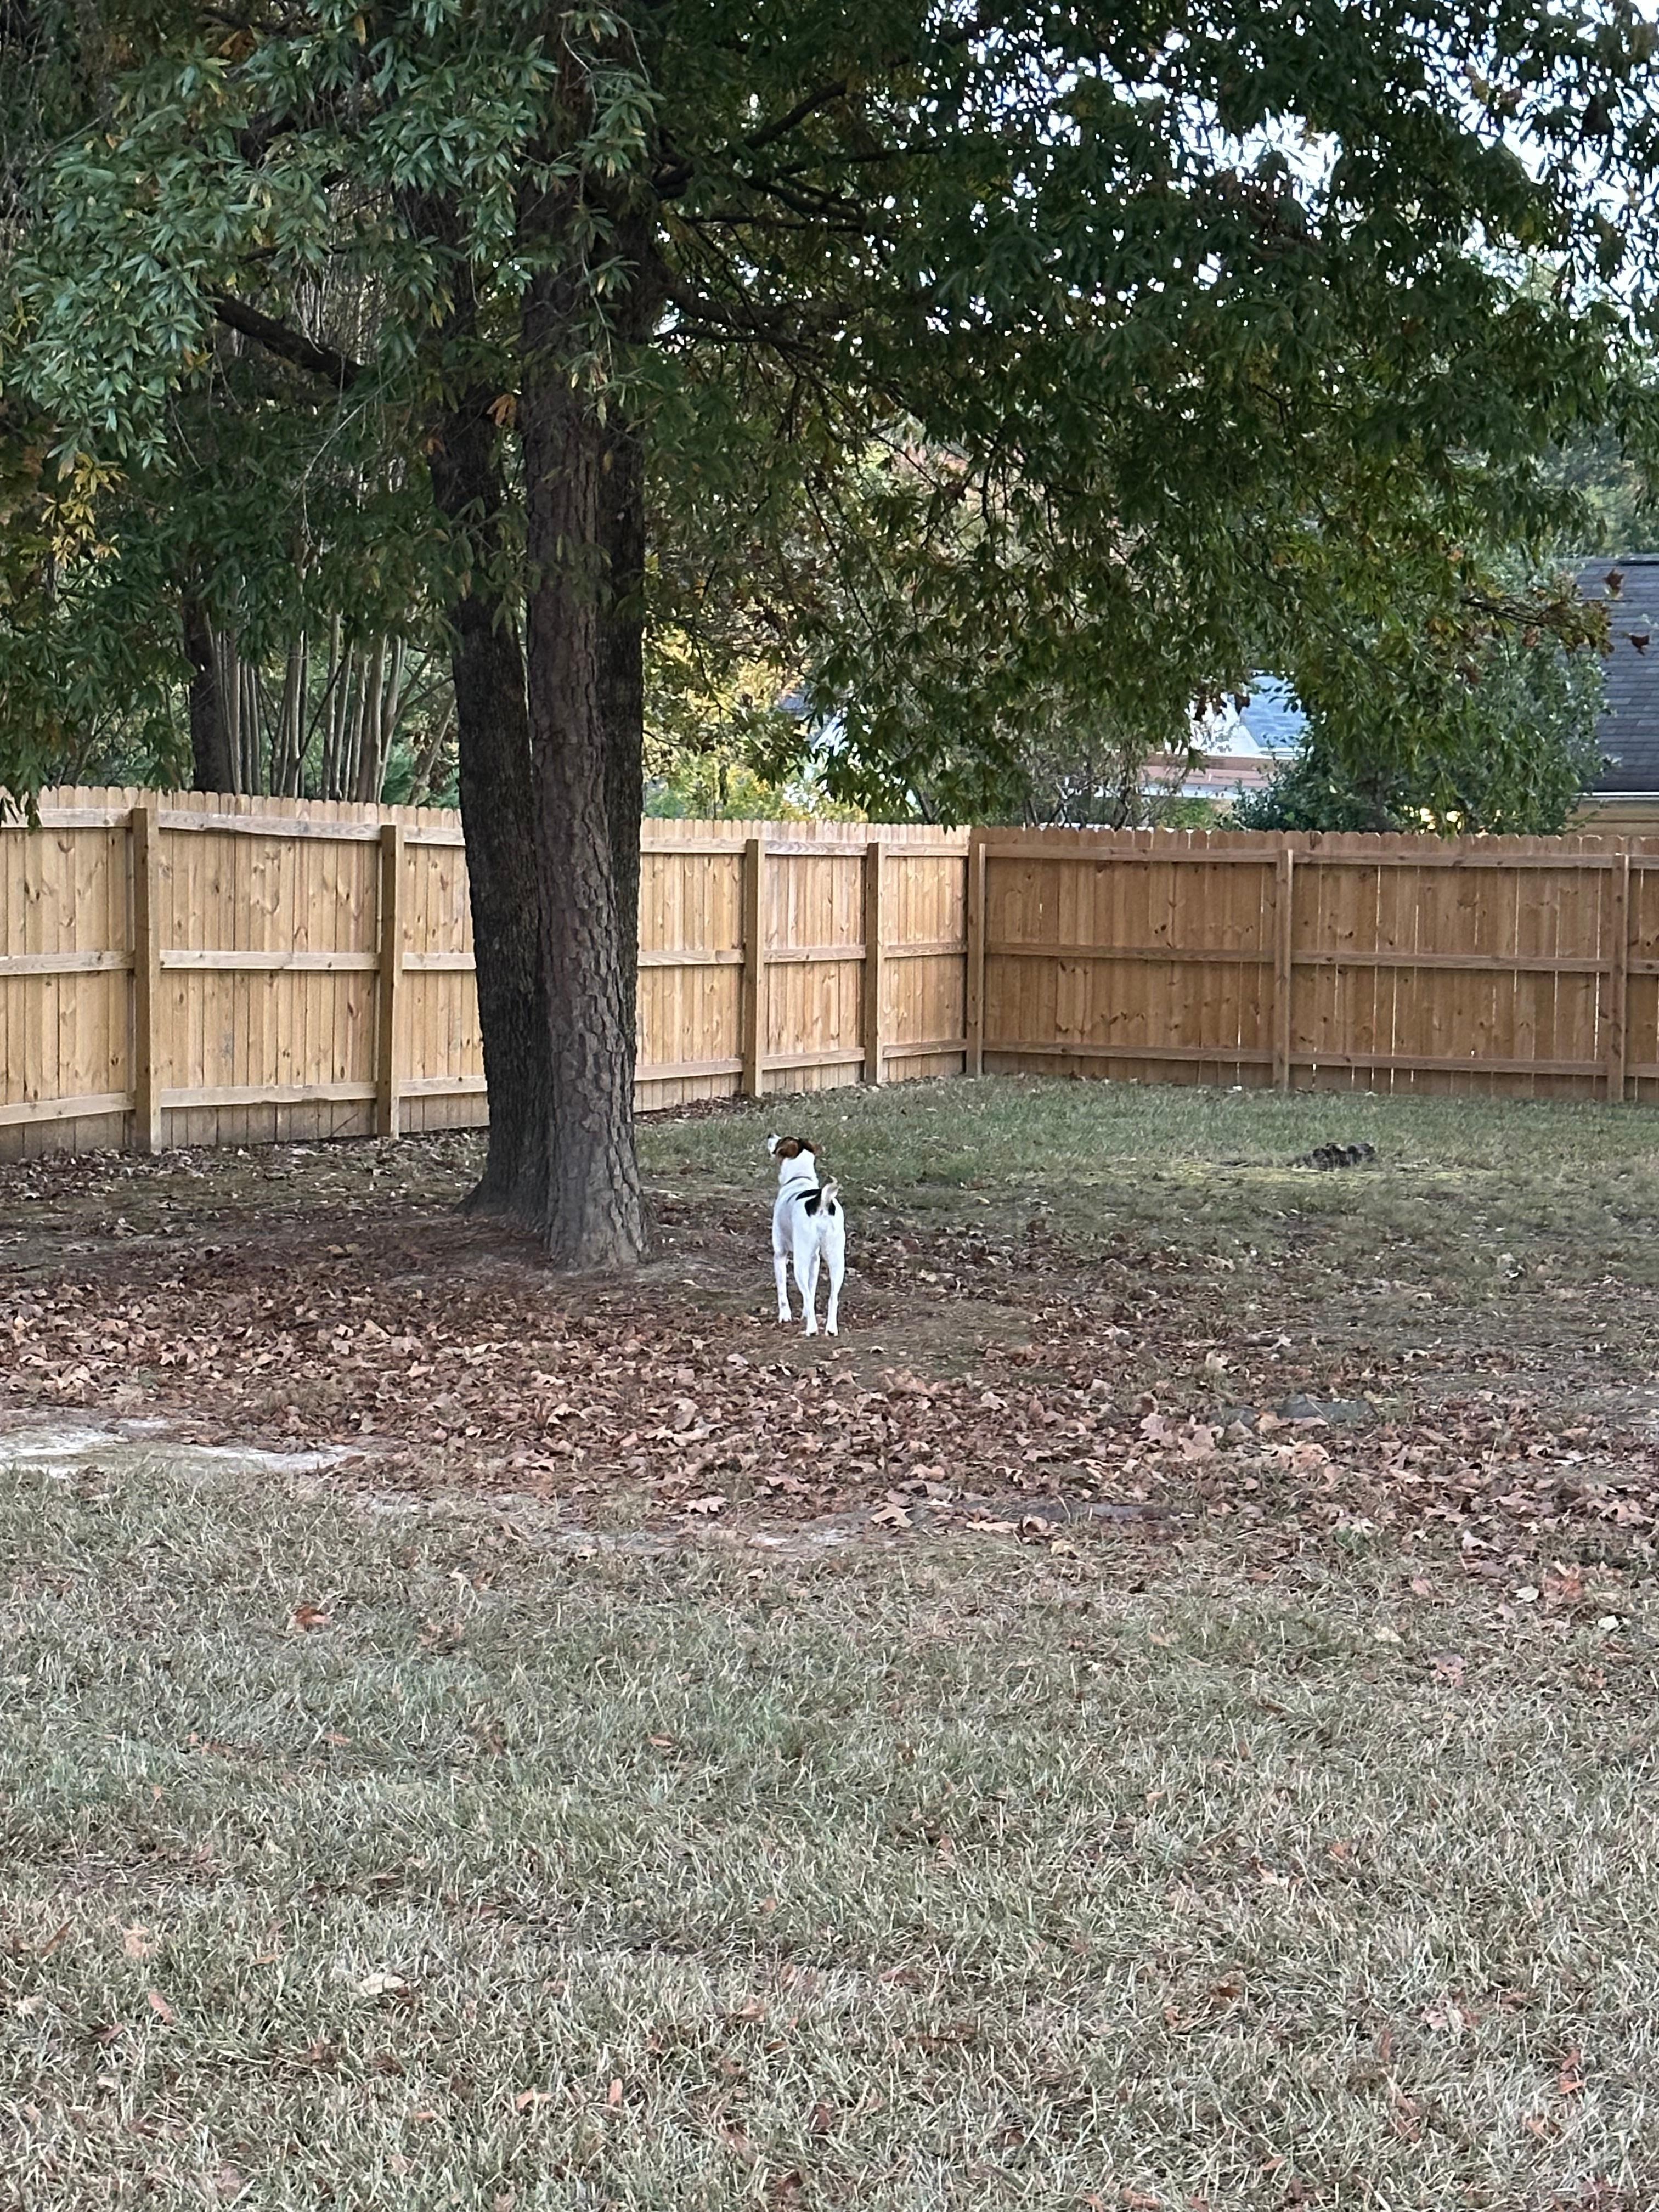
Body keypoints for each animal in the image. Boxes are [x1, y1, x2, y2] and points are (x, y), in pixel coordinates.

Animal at [767, 1134, 846, 1337]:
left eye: (780, 1141)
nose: (770, 1135)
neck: (799, 1178)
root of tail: (822, 1203)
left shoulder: (780, 1254)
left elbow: (783, 1293)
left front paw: (785, 1316)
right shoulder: (815, 1259)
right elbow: (812, 1288)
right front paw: (804, 1312)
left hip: (800, 1262)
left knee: (808, 1295)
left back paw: (812, 1328)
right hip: (837, 1261)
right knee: (833, 1297)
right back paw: (831, 1328)